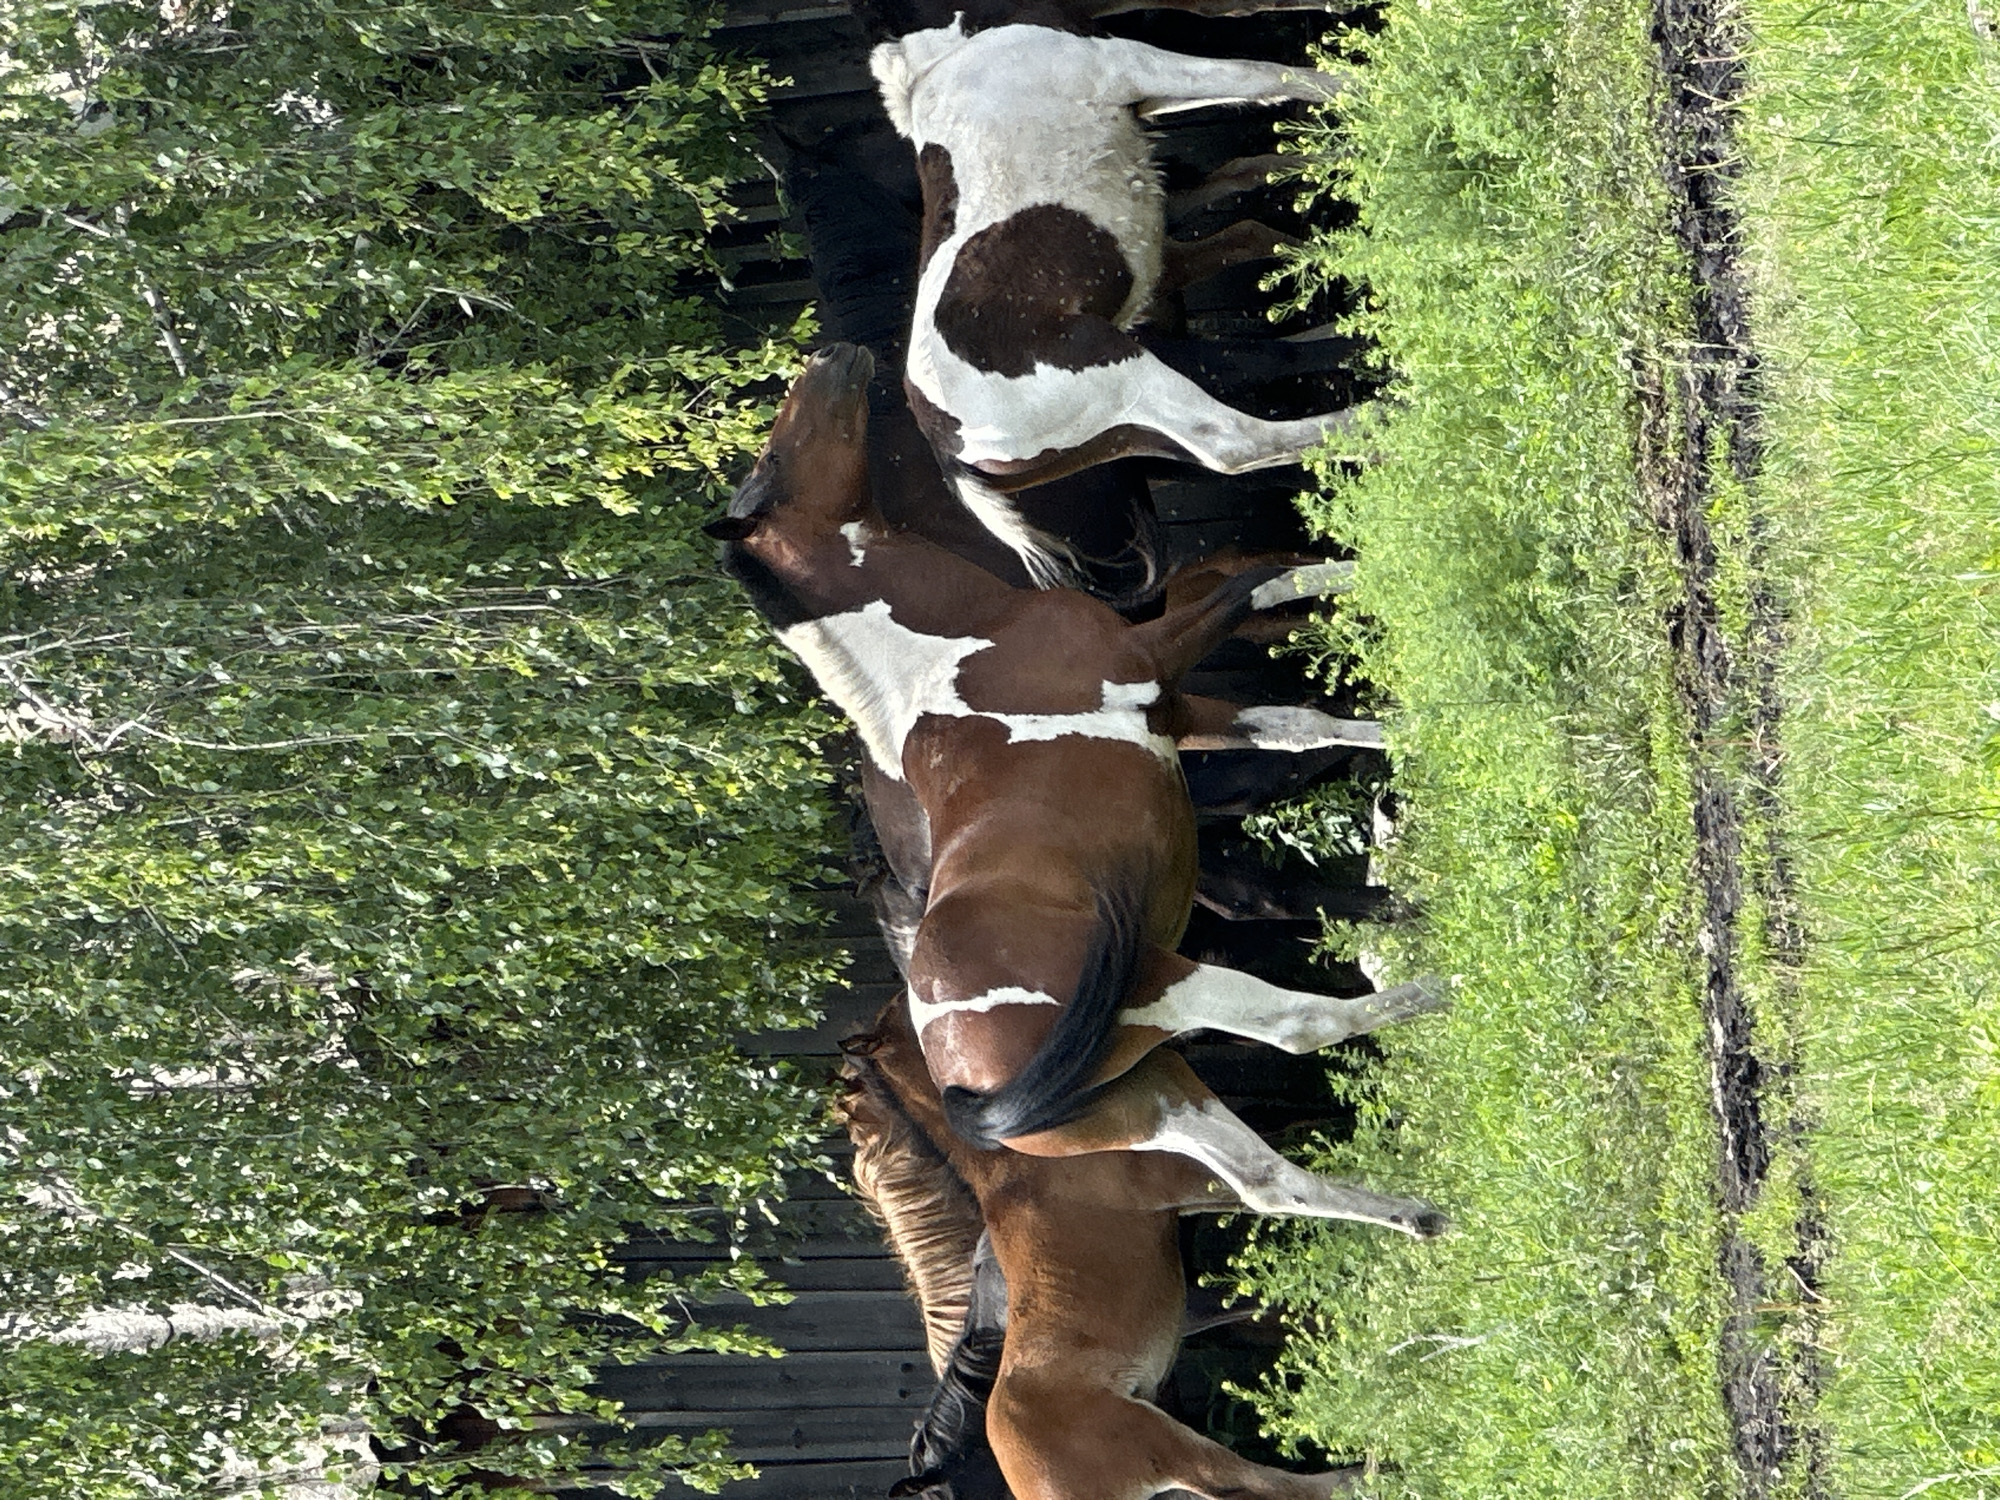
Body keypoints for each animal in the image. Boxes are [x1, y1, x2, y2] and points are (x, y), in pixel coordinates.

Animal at [711, 344, 1445, 1229]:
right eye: (775, 460)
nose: (830, 354)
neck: (947, 654)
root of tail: (961, 1085)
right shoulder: (1161, 653)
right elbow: (1261, 586)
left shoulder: (1178, 711)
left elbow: (1300, 722)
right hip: (1168, 987)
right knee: (1300, 1024)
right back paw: (1442, 991)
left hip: (1150, 1093)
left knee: (1266, 1182)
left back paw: (1426, 1216)